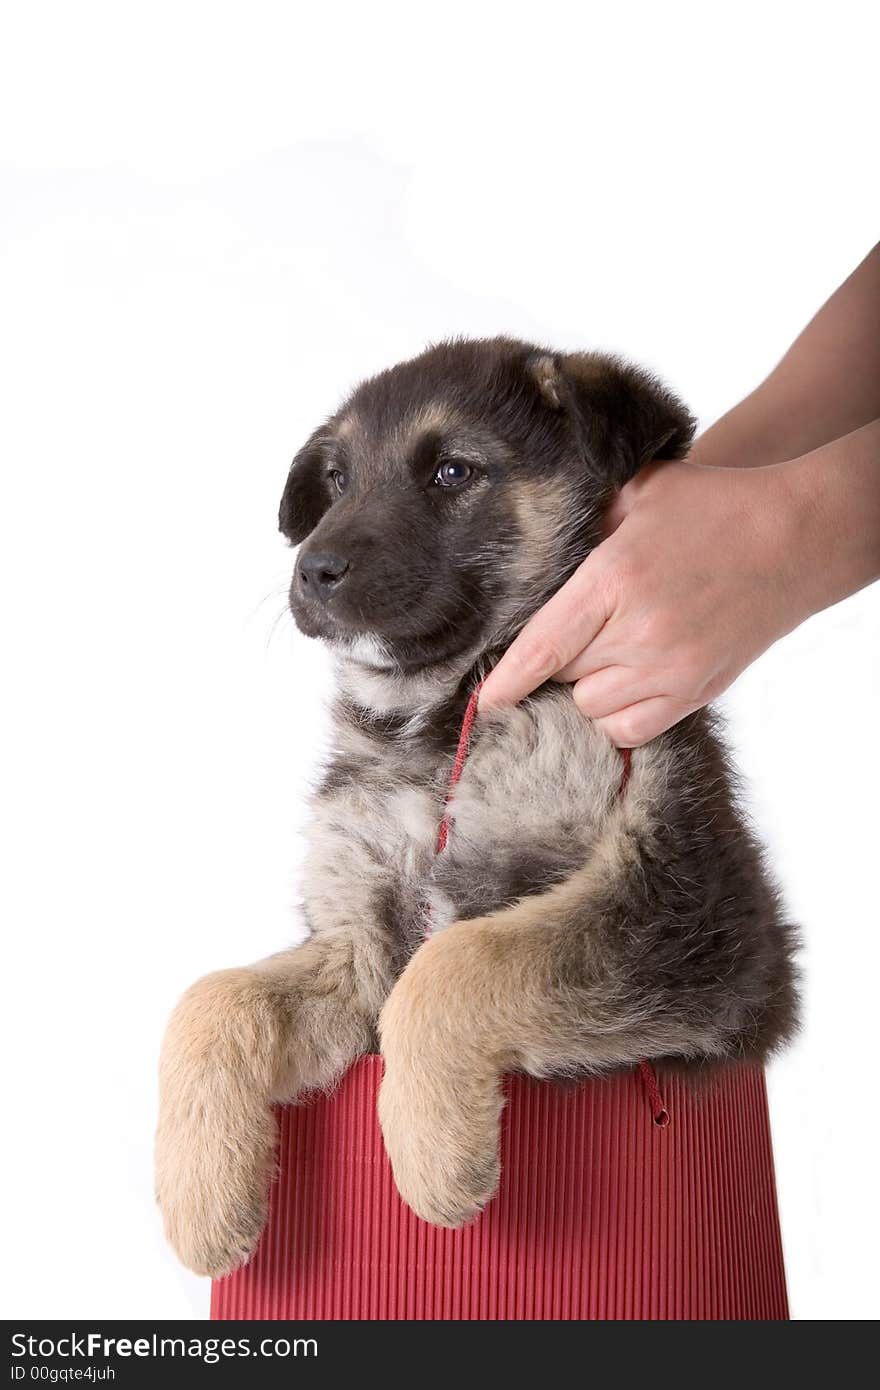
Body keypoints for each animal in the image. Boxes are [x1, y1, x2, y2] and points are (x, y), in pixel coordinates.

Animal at [154, 333, 800, 1273]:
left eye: (453, 471)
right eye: (338, 479)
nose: (310, 571)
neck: (444, 715)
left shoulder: (691, 918)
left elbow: (461, 960)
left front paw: (431, 1153)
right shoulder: (358, 944)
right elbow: (215, 998)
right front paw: (203, 1198)